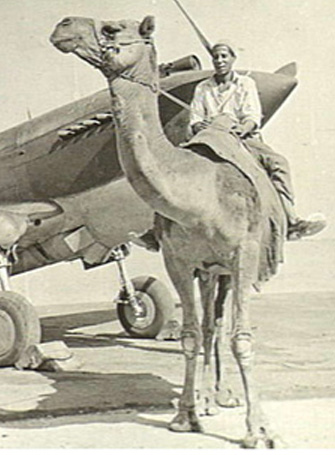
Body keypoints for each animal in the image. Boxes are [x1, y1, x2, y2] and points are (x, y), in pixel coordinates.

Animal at [50, 15, 286, 448]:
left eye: (111, 29)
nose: (64, 25)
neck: (199, 190)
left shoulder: (243, 255)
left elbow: (241, 338)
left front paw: (258, 431)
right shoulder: (178, 260)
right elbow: (191, 334)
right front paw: (184, 416)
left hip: (228, 270)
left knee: (220, 325)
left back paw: (224, 396)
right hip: (208, 270)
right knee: (209, 324)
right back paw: (208, 400)